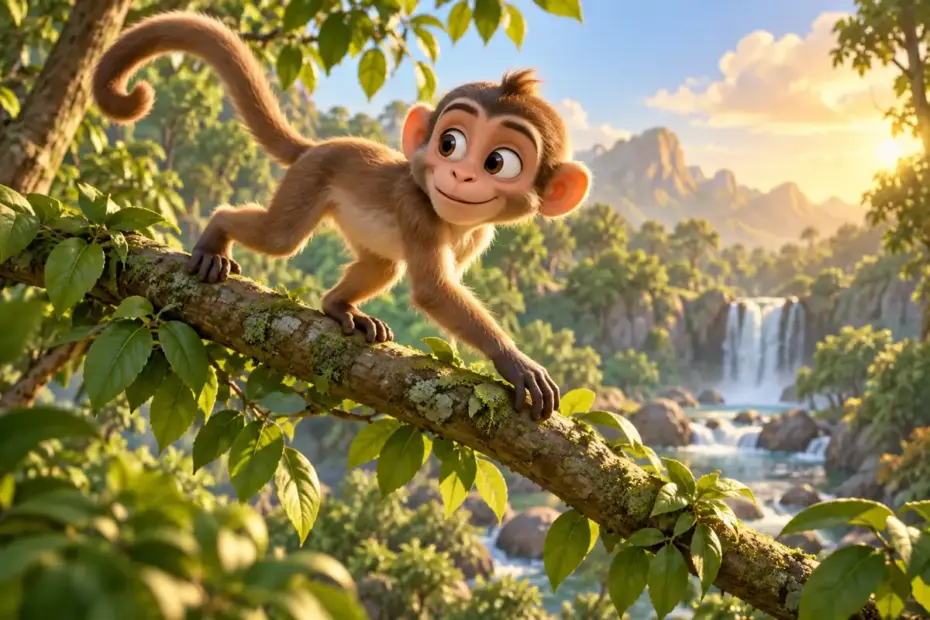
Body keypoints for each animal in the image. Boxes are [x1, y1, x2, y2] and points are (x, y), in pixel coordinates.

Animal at [92, 11, 592, 421]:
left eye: (498, 162)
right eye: (450, 143)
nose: (460, 175)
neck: (451, 219)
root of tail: (317, 147)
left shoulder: (478, 236)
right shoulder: (417, 207)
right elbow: (433, 291)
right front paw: (515, 363)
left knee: (383, 264)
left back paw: (339, 306)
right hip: (308, 181)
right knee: (281, 237)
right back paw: (216, 238)